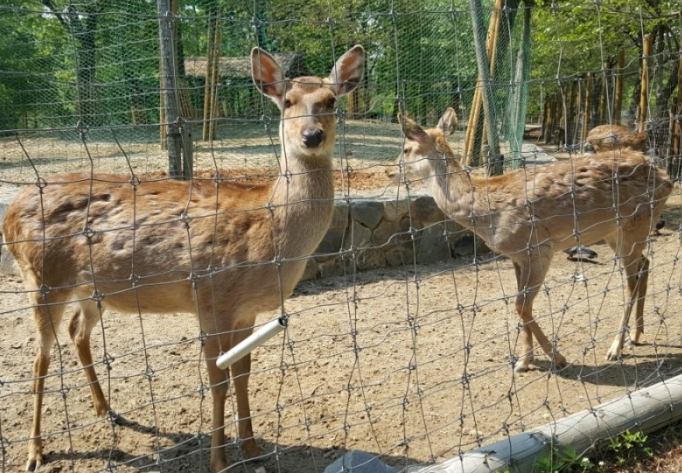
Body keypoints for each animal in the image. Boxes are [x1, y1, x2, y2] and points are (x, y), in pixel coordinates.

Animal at [2, 45, 364, 472]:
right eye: (288, 101)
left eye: (331, 101)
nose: (312, 135)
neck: (271, 235)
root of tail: (12, 211)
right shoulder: (211, 299)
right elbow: (217, 380)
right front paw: (219, 459)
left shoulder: (246, 310)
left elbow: (243, 374)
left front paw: (253, 448)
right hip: (41, 276)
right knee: (40, 356)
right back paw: (35, 451)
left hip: (92, 288)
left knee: (77, 331)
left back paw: (107, 411)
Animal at [386, 107, 672, 372]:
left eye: (406, 148)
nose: (389, 171)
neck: (486, 212)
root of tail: (668, 179)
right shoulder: (516, 256)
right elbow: (520, 304)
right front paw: (525, 360)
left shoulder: (539, 248)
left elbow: (521, 305)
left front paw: (556, 358)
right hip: (616, 232)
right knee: (644, 265)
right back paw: (636, 335)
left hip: (634, 226)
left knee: (631, 280)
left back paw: (615, 348)